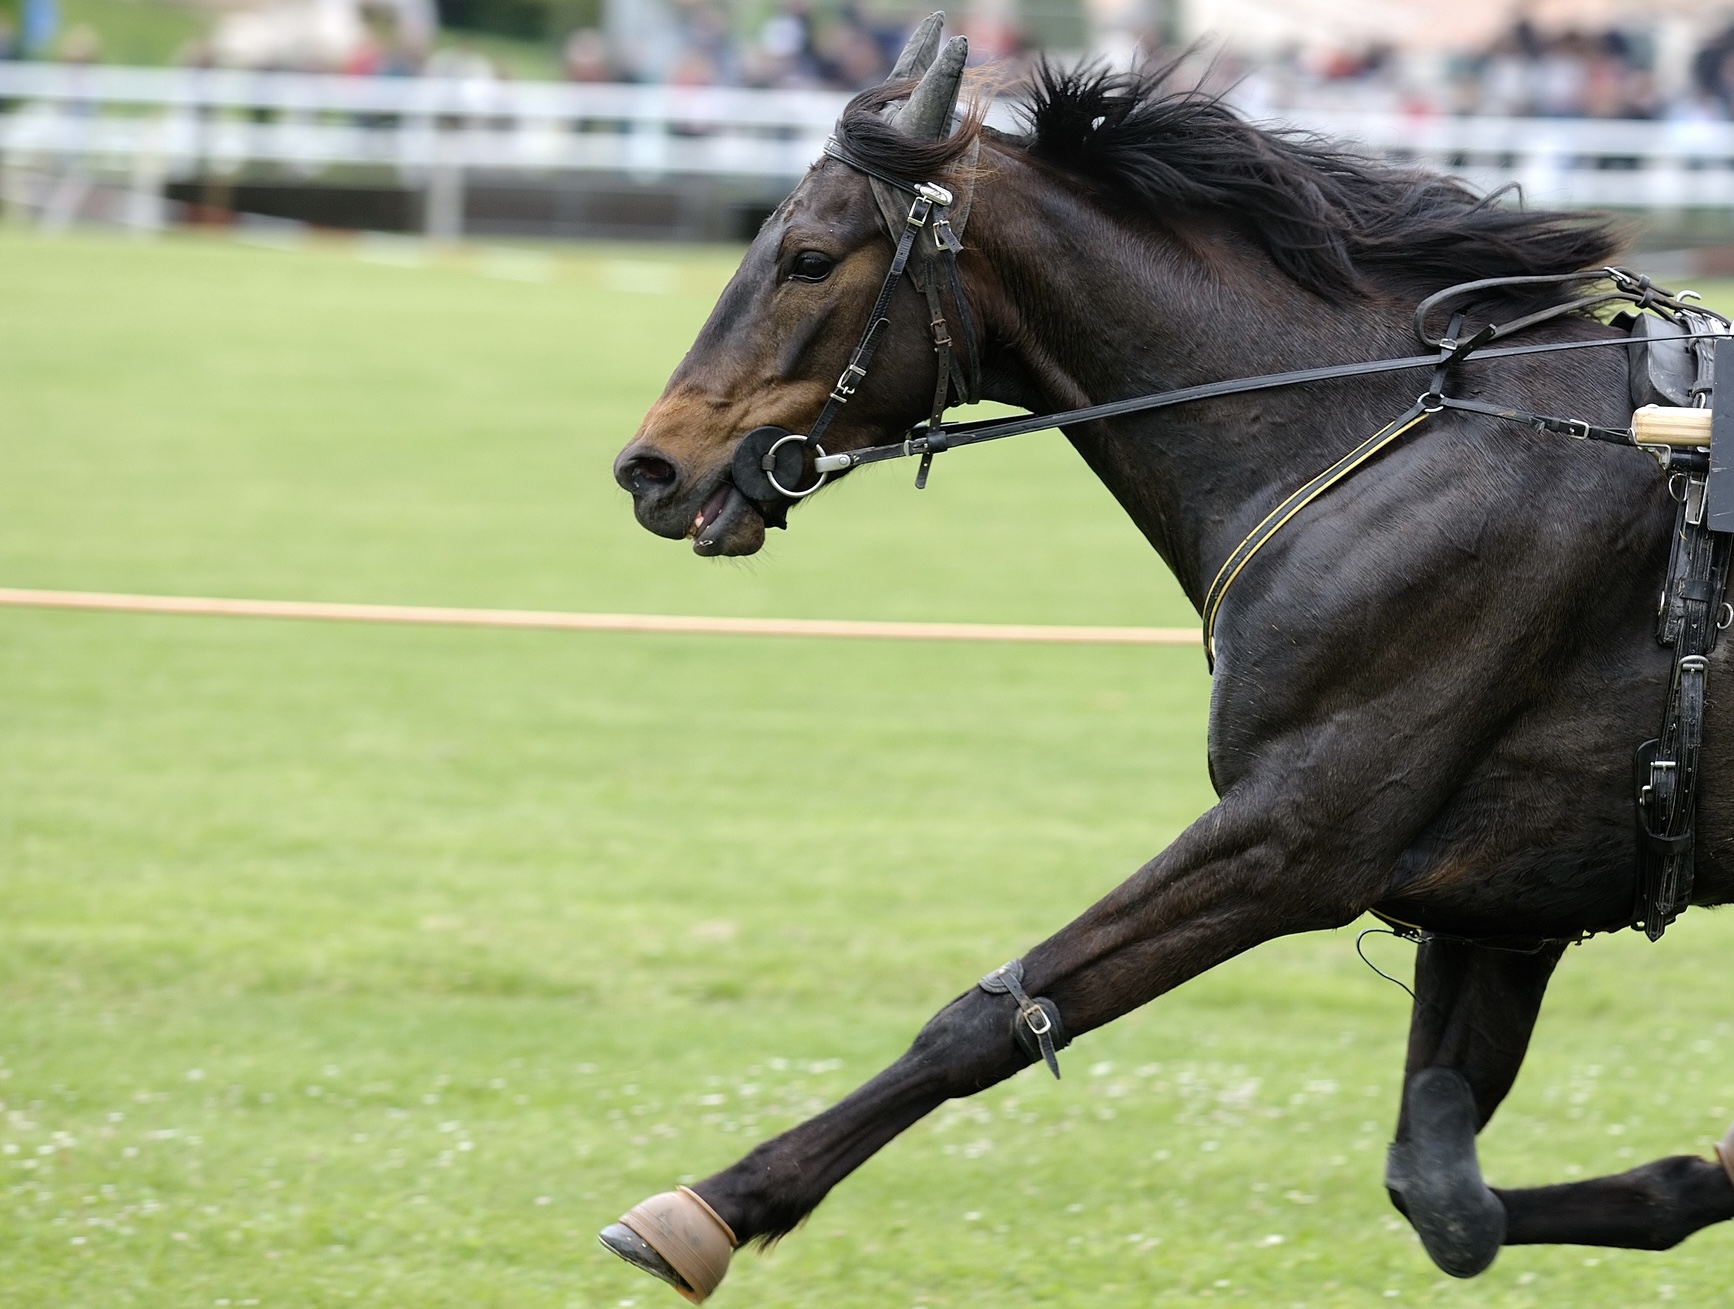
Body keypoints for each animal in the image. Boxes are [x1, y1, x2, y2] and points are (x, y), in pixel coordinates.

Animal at [596, 15, 1734, 1303]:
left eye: (807, 257)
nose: (652, 468)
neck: (1392, 434)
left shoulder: (1296, 835)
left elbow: (991, 1017)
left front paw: (713, 1206)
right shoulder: (1503, 898)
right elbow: (1446, 1197)